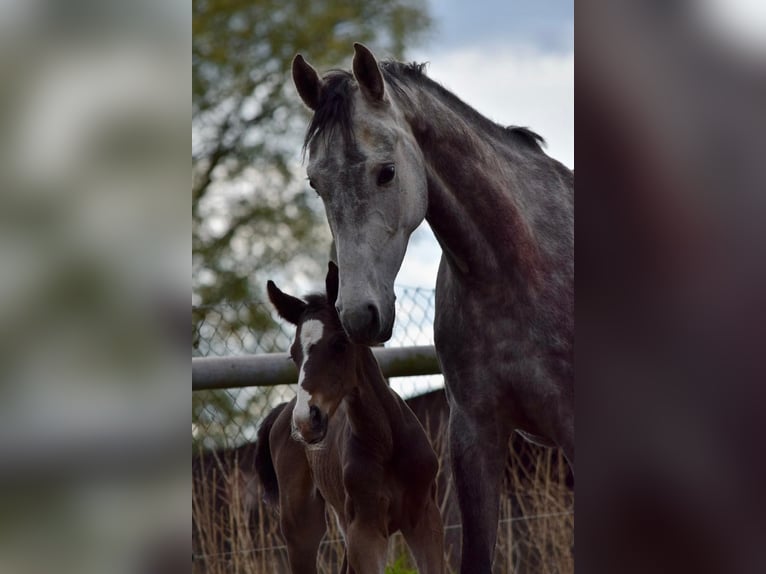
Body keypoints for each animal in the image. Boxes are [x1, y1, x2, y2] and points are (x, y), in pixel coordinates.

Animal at [255, 264, 444, 572]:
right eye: (293, 355)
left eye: (340, 343)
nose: (306, 420)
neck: (387, 442)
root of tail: (283, 410)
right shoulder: (365, 531)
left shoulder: (426, 518)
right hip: (302, 527)